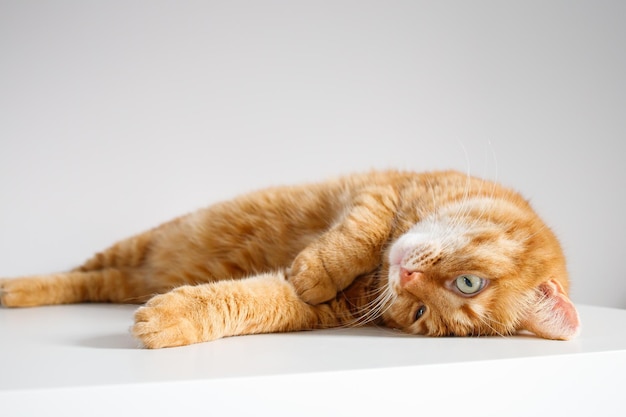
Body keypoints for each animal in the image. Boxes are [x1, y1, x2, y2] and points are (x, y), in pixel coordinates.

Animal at [0, 170, 576, 348]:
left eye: (419, 314)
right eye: (469, 283)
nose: (407, 276)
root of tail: (141, 270)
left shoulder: (333, 312)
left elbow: (262, 300)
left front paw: (173, 317)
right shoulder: (380, 191)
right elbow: (358, 236)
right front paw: (317, 269)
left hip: (123, 274)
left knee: (90, 283)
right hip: (138, 242)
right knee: (71, 275)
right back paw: (16, 288)